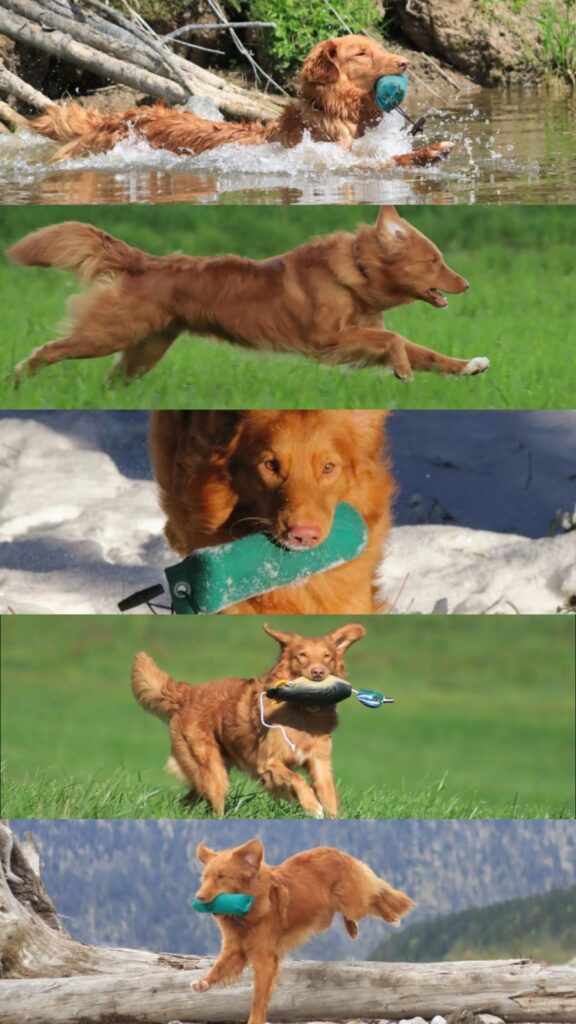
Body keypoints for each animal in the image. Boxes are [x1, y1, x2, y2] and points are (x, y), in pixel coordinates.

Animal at [8, 205, 485, 385]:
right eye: (434, 261)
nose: (467, 284)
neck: (358, 271)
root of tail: (144, 261)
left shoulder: (353, 335)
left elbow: (424, 351)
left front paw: (468, 365)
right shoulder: (325, 340)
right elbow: (396, 341)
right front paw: (402, 370)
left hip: (143, 350)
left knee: (110, 380)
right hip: (107, 334)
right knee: (47, 350)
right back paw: (17, 383)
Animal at [30, 35, 453, 167]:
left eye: (378, 47)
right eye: (362, 53)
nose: (405, 62)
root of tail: (115, 117)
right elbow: (384, 161)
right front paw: (427, 153)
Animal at [130, 618, 362, 819]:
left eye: (327, 656)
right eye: (301, 655)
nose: (318, 672)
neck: (302, 711)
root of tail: (189, 693)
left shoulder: (320, 763)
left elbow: (329, 796)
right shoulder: (268, 763)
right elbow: (296, 779)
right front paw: (312, 806)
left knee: (187, 801)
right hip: (213, 773)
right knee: (215, 804)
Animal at [192, 839, 412, 1024]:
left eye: (222, 877)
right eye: (204, 878)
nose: (199, 897)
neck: (245, 914)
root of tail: (336, 851)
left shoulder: (265, 959)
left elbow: (258, 997)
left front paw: (255, 1019)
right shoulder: (234, 949)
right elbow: (217, 968)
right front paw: (203, 983)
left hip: (353, 900)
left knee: (375, 894)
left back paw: (392, 918)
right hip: (330, 910)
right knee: (357, 906)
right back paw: (353, 928)